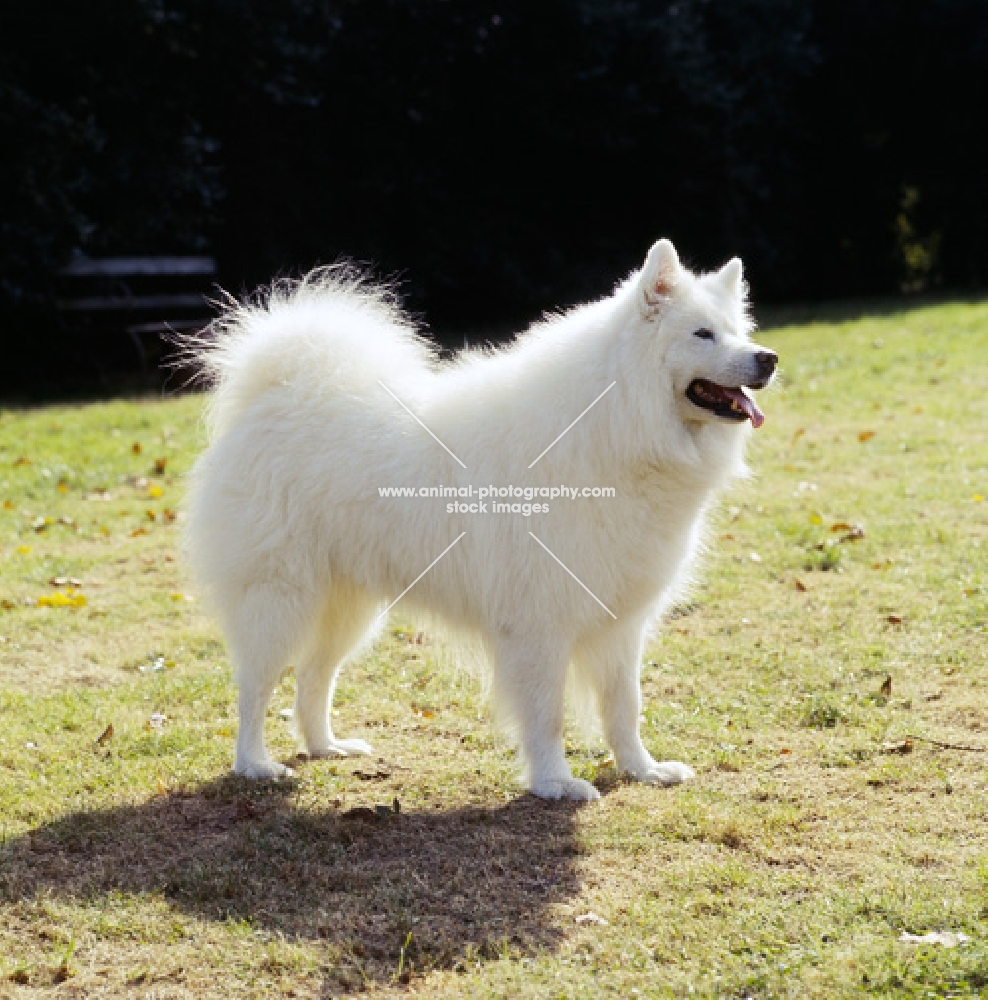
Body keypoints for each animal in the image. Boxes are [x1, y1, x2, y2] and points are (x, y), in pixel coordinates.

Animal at [183, 238, 772, 800]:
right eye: (702, 334)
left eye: (738, 332)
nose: (768, 357)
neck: (616, 425)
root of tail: (274, 393)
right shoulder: (540, 623)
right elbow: (547, 714)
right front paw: (554, 785)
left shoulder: (621, 622)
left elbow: (625, 706)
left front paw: (642, 770)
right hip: (280, 600)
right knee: (254, 690)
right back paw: (256, 766)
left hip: (347, 606)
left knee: (314, 676)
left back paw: (327, 746)